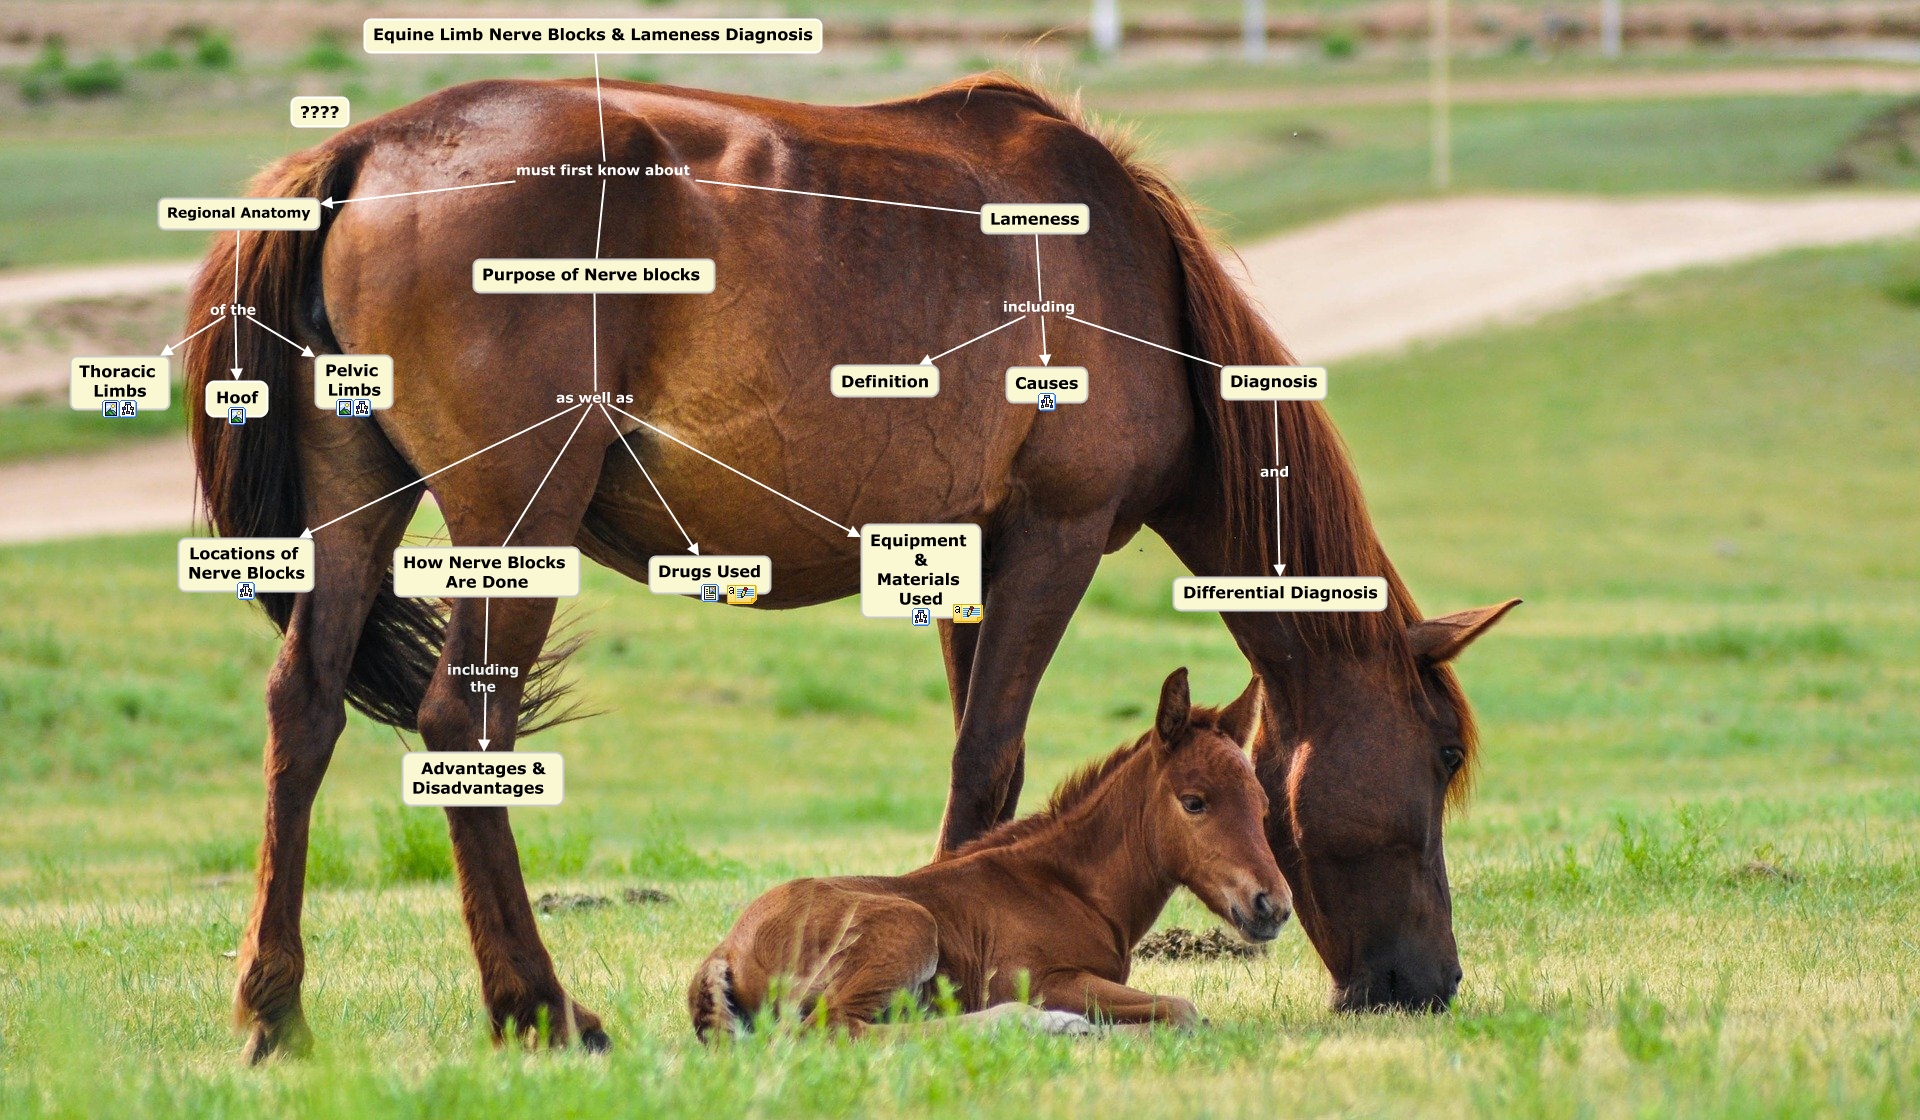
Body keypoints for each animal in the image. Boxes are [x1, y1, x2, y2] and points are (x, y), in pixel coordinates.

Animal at [689, 668, 1287, 1039]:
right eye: (1194, 802)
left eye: (1262, 805)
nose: (1273, 907)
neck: (1070, 887)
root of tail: (726, 949)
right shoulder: (1041, 979)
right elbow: (1182, 1010)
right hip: (908, 927)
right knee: (837, 1029)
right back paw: (1038, 1025)